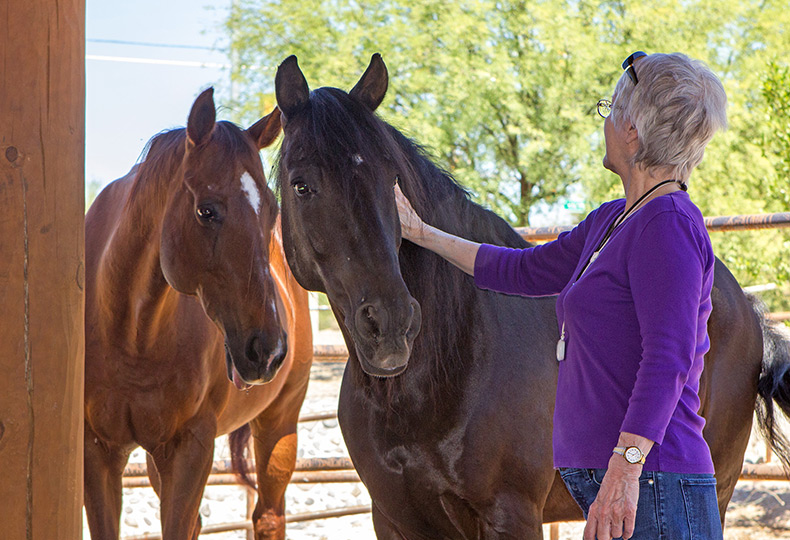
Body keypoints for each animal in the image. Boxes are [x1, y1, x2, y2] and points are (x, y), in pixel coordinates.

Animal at [83, 88, 313, 540]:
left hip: (279, 425)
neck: (132, 333)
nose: (268, 351)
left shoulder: (190, 448)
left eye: (270, 211)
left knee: (269, 515)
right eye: (207, 210)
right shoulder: (98, 451)